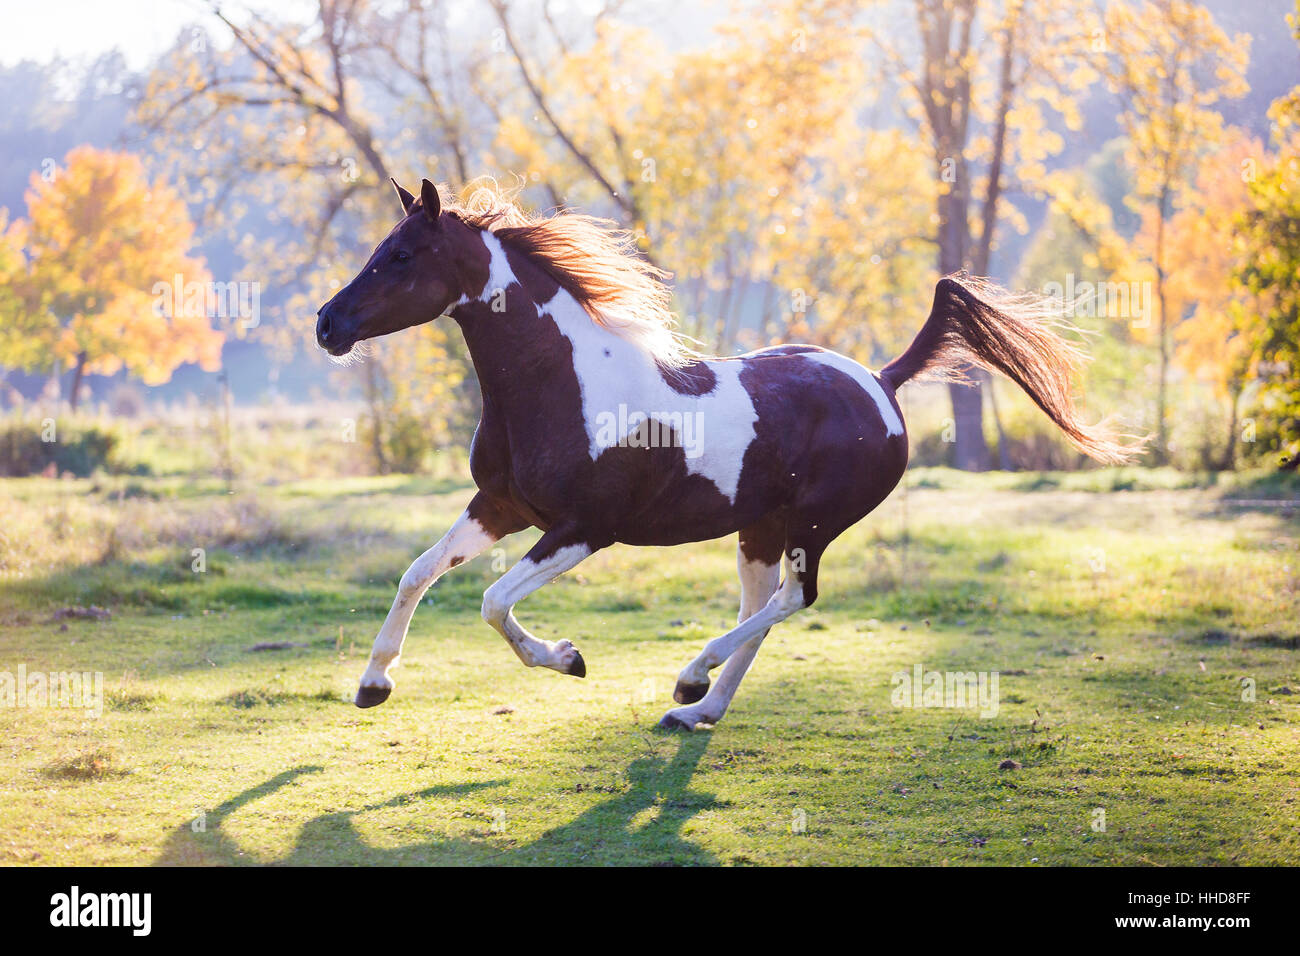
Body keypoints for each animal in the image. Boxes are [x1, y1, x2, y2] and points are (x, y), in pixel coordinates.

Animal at [317, 180, 1138, 733]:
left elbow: (491, 600)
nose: (327, 324)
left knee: (793, 599)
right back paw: (699, 709)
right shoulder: (500, 506)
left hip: (813, 524)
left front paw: (569, 658)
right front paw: (373, 684)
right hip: (760, 527)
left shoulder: (585, 529)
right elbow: (417, 572)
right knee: (764, 604)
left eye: (401, 255)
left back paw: (689, 680)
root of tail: (881, 380)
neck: (562, 383)